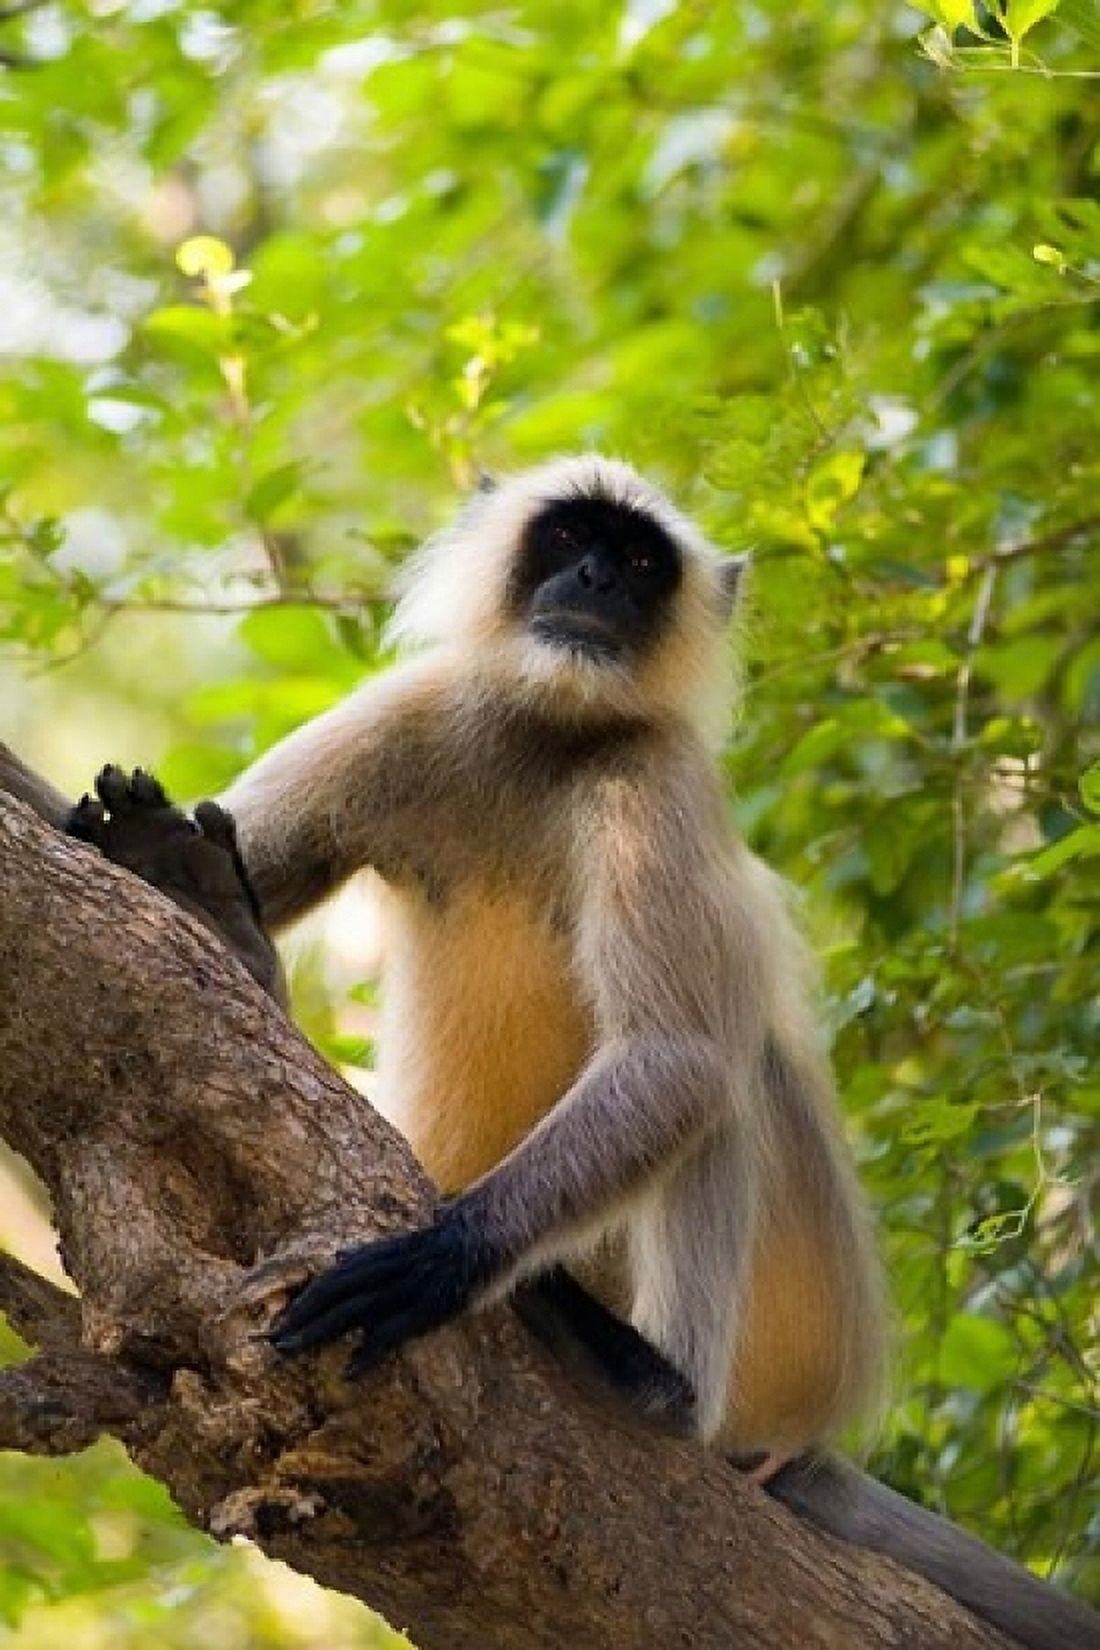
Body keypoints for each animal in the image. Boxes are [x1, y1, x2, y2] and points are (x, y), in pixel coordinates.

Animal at [2, 456, 1096, 1650]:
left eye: (638, 563)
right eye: (571, 539)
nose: (594, 582)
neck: (545, 732)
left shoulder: (655, 778)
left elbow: (675, 1058)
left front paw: (441, 1259)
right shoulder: (413, 711)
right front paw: (168, 874)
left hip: (792, 1333)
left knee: (723, 1078)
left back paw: (656, 1384)